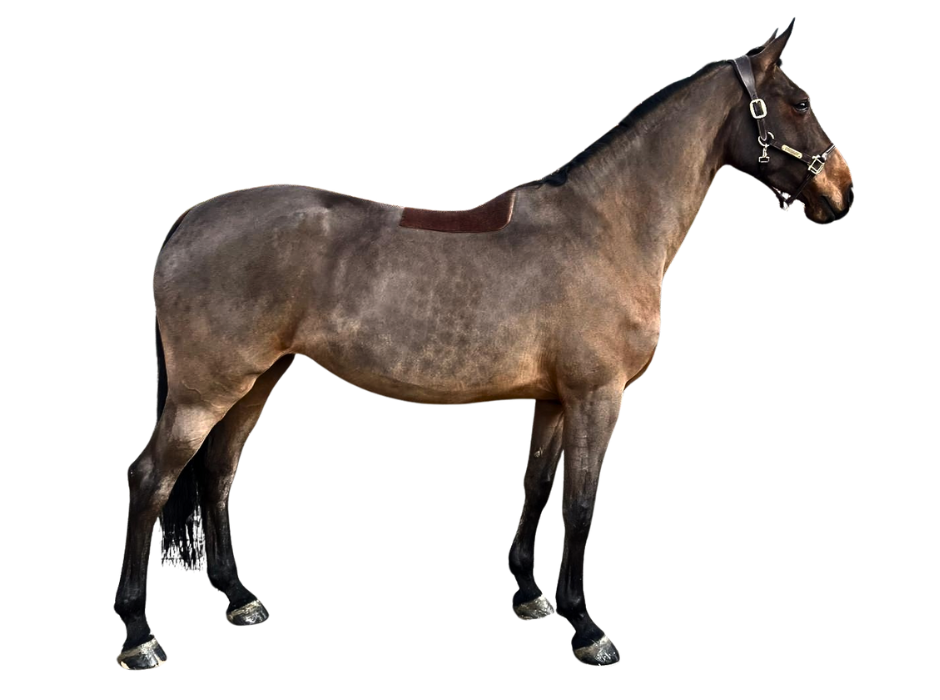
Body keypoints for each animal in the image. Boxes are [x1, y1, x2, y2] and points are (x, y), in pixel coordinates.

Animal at [114, 18, 854, 670]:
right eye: (799, 102)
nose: (843, 190)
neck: (603, 229)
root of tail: (189, 221)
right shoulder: (597, 398)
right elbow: (581, 504)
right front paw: (587, 628)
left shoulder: (554, 400)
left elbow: (537, 486)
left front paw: (530, 594)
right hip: (205, 392)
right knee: (152, 478)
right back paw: (139, 634)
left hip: (258, 380)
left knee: (218, 471)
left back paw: (239, 598)